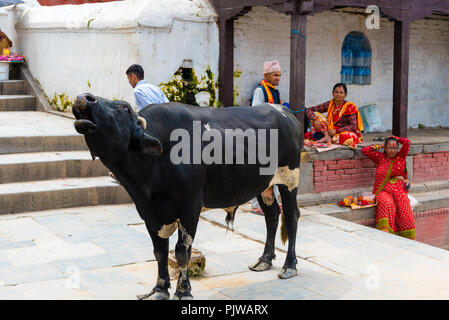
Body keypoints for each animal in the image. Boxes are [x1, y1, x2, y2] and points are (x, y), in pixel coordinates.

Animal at [73, 94, 302, 302]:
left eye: (124, 108)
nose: (84, 97)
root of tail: (286, 113)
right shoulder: (149, 213)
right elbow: (159, 251)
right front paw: (159, 290)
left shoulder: (190, 208)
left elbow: (182, 251)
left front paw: (183, 291)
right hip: (264, 185)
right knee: (272, 215)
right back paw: (264, 260)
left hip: (290, 179)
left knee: (291, 217)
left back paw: (289, 266)